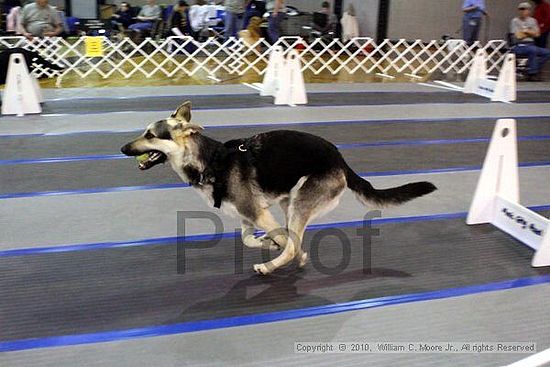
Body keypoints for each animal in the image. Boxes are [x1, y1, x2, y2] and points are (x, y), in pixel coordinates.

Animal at [122, 102, 440, 274]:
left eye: (150, 135)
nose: (123, 149)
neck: (209, 161)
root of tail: (340, 158)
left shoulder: (257, 213)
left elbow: (286, 243)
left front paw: (281, 249)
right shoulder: (249, 216)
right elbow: (250, 240)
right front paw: (267, 242)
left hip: (298, 203)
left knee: (294, 242)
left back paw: (272, 265)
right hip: (290, 203)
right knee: (291, 236)